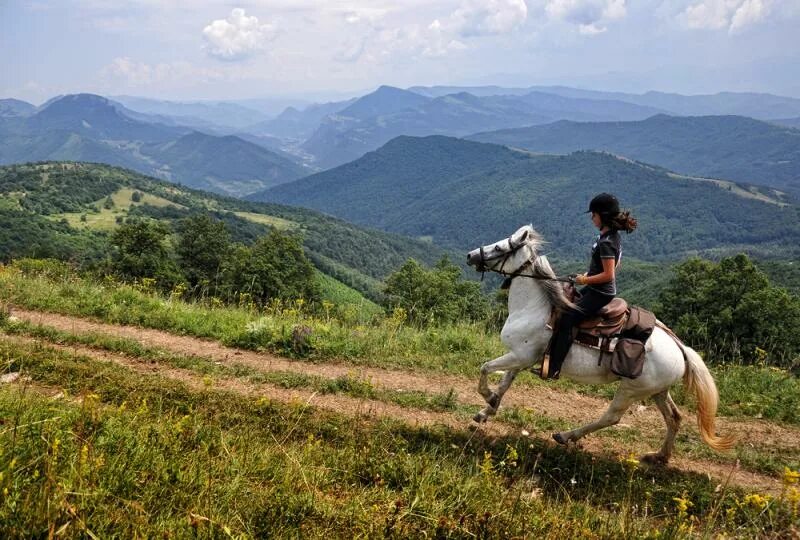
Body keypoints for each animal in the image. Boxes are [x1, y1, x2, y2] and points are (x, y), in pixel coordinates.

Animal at [466, 225, 736, 464]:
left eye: (500, 247)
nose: (471, 255)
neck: (535, 308)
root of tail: (681, 348)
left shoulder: (521, 355)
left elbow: (485, 368)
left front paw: (488, 397)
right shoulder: (522, 357)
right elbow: (505, 383)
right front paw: (487, 410)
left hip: (631, 389)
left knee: (612, 417)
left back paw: (566, 435)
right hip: (658, 390)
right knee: (674, 417)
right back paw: (659, 456)